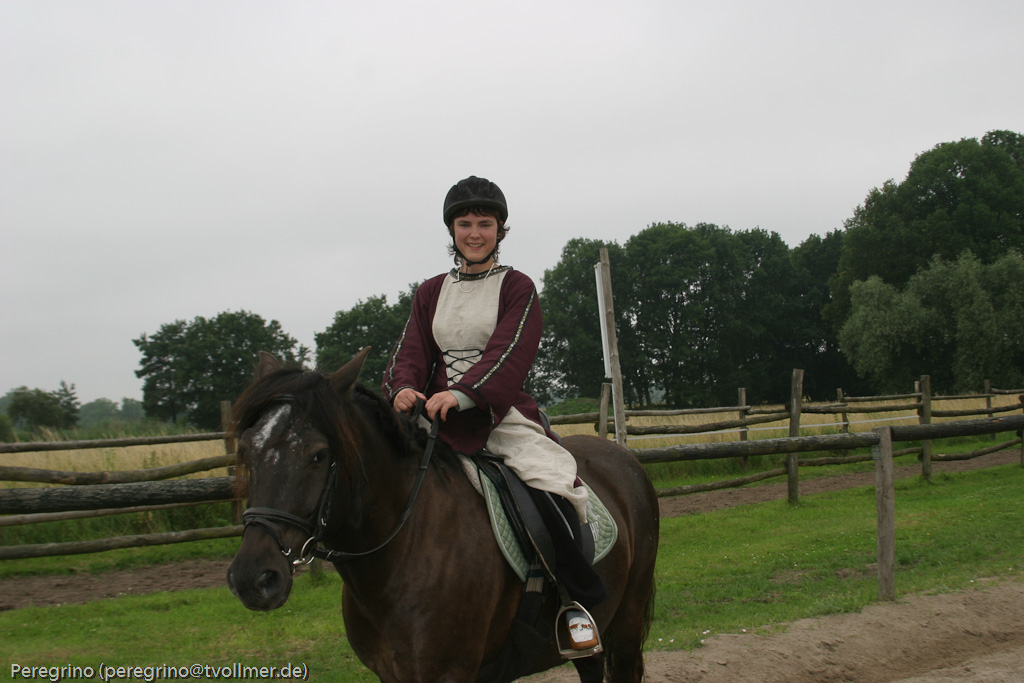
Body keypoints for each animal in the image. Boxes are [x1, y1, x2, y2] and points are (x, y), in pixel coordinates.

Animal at [227, 349, 660, 682]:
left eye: (318, 455)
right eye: (246, 449)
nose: (253, 578)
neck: (403, 546)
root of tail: (625, 458)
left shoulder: (448, 673)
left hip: (624, 624)